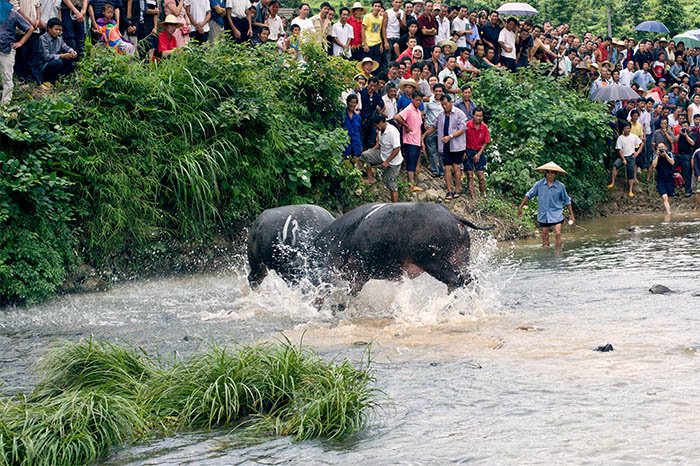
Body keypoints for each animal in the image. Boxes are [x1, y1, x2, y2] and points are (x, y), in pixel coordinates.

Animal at [312, 202, 492, 294]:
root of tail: (455, 217)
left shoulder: (357, 276)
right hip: (460, 257)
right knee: (471, 278)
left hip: (432, 261)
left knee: (456, 279)